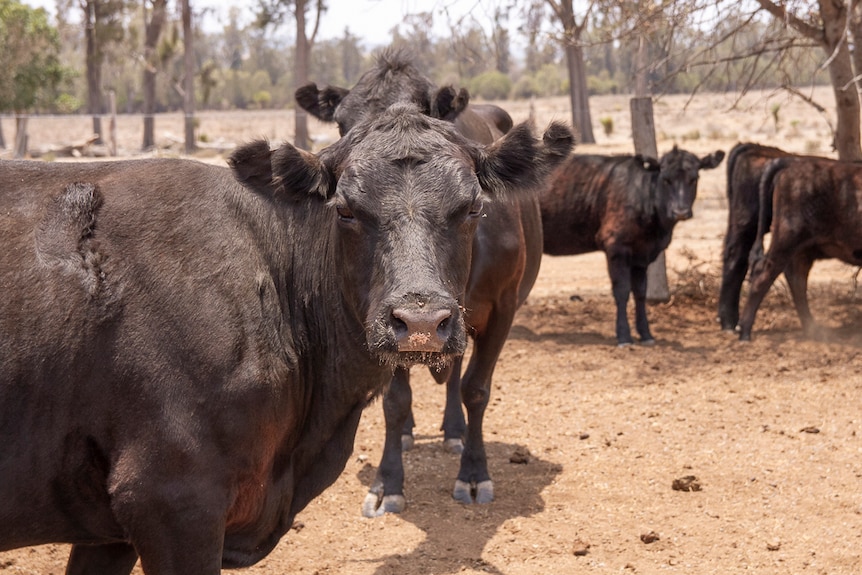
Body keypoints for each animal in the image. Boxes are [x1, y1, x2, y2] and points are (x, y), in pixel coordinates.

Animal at [296, 50, 572, 516]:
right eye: (341, 123)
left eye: (474, 206)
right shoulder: (387, 319)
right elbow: (394, 399)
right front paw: (388, 481)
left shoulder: (502, 308)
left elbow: (476, 389)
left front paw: (474, 473)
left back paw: (455, 431)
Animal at [544, 148, 724, 346]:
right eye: (665, 179)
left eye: (694, 178)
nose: (680, 211)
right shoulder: (616, 246)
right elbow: (622, 291)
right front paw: (623, 336)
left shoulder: (642, 255)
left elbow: (640, 293)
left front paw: (646, 334)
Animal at [736, 155, 862, 340]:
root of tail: (793, 162)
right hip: (786, 242)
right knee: (765, 275)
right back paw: (744, 331)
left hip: (802, 250)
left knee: (797, 281)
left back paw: (812, 329)